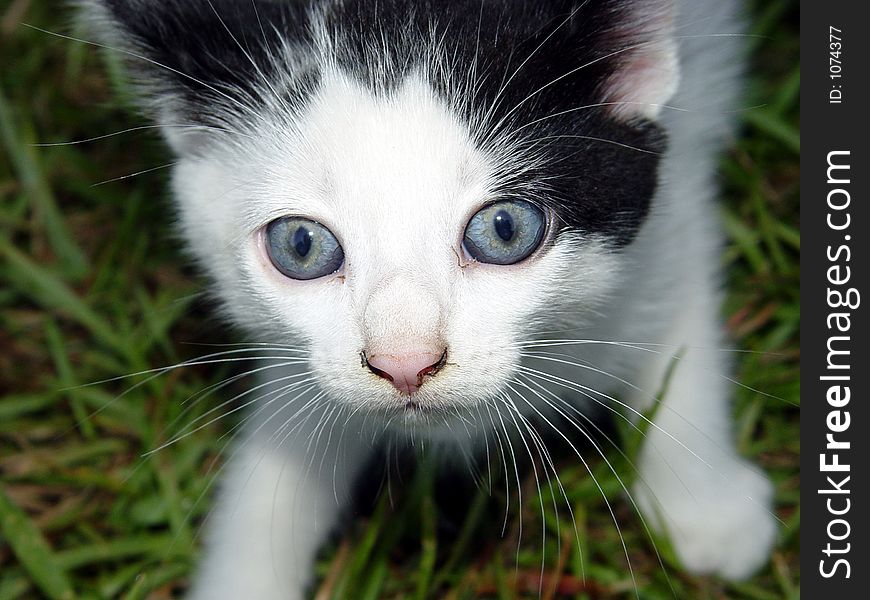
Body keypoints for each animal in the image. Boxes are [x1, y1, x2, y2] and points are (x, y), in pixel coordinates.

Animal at [82, 0, 776, 596]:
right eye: (301, 246)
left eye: (505, 230)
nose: (405, 363)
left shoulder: (678, 211)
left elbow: (684, 333)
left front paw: (707, 506)